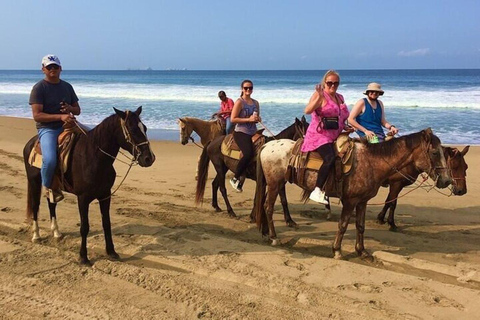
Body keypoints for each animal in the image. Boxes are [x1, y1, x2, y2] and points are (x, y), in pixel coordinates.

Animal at [23, 107, 155, 264]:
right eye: (133, 129)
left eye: (145, 128)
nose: (149, 158)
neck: (95, 158)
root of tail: (30, 143)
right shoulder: (83, 198)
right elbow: (84, 227)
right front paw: (83, 257)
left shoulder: (105, 195)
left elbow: (106, 223)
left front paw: (111, 252)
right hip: (34, 182)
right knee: (35, 205)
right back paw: (36, 235)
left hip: (53, 186)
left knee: (51, 203)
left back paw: (56, 232)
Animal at [253, 128, 452, 260]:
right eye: (435, 152)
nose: (447, 180)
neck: (372, 162)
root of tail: (267, 145)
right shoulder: (350, 201)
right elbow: (342, 225)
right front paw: (337, 250)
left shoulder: (362, 201)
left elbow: (360, 226)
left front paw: (361, 251)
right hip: (274, 184)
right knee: (268, 207)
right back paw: (273, 237)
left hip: (275, 184)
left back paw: (266, 233)